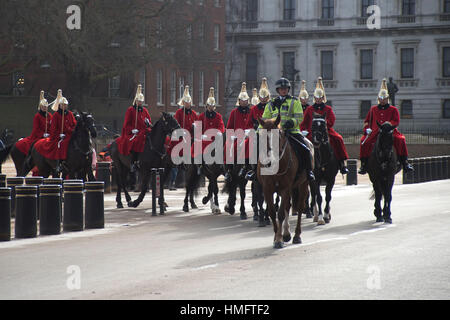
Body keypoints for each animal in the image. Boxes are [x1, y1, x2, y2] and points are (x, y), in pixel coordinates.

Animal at [256, 115, 310, 248]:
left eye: (278, 136)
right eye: (261, 135)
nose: (268, 161)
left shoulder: (286, 188)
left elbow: (280, 213)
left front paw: (279, 239)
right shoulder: (267, 189)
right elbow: (272, 212)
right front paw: (277, 237)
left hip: (303, 184)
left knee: (299, 207)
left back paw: (296, 235)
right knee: (287, 206)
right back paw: (286, 233)